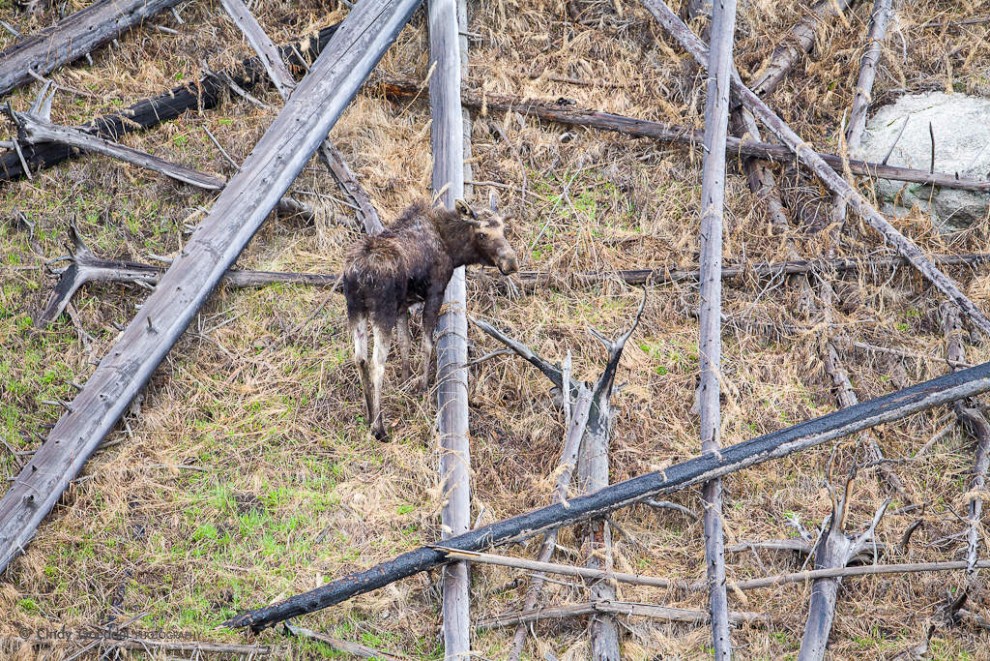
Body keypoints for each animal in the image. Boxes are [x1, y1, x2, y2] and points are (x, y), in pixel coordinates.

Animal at [344, 199, 524, 440]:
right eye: (482, 234)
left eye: (505, 230)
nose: (511, 262)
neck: (453, 250)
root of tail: (359, 275)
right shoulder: (435, 291)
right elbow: (427, 343)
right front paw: (421, 384)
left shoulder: (403, 304)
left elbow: (405, 344)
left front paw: (405, 380)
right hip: (382, 310)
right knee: (376, 363)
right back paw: (379, 427)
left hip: (355, 308)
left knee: (360, 359)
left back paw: (369, 415)